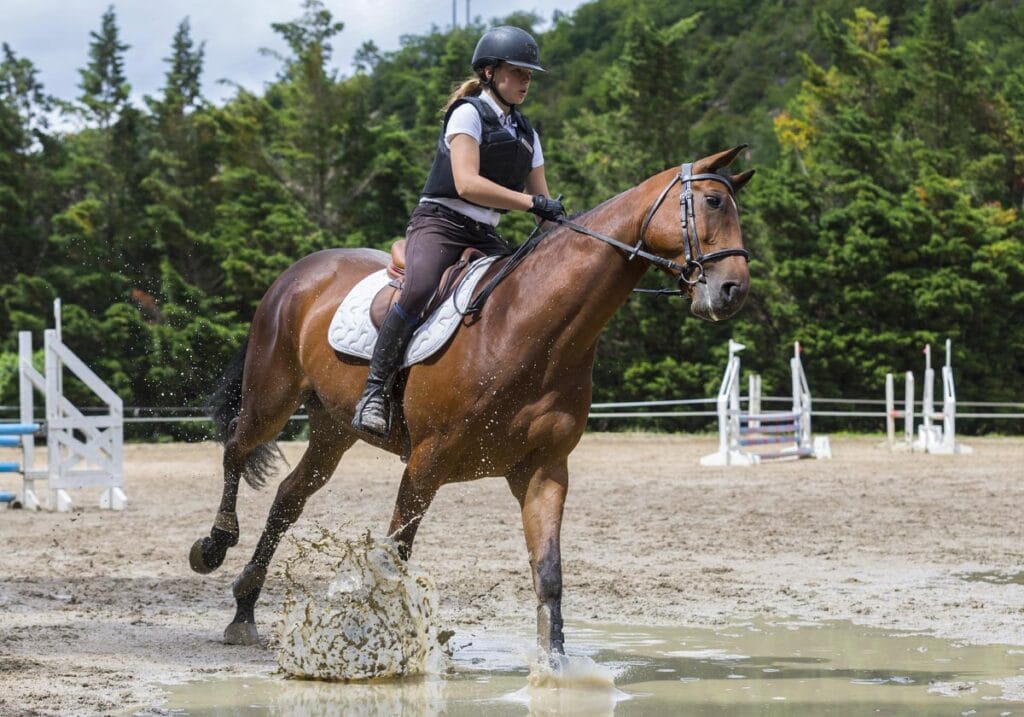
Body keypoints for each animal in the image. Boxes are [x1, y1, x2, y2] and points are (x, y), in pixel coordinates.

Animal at [189, 145, 754, 651]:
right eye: (712, 203)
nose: (733, 291)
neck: (531, 327)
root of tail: (299, 272)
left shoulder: (543, 470)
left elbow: (548, 574)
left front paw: (555, 666)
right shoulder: (426, 462)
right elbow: (396, 554)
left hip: (333, 428)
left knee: (289, 497)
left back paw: (244, 609)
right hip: (272, 398)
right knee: (237, 448)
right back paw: (213, 546)